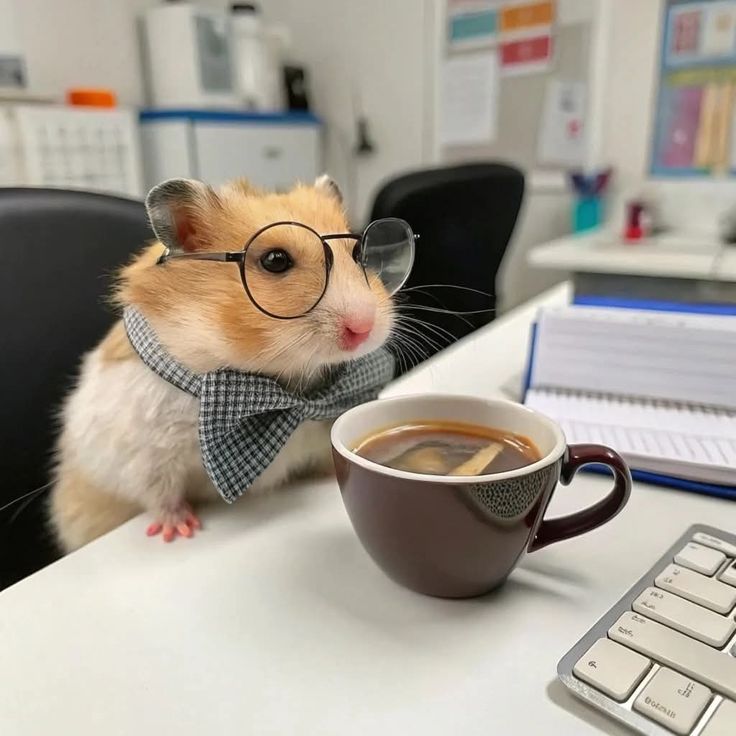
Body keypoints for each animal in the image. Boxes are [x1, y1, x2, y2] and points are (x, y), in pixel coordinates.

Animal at [49, 175, 395, 552]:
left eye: (359, 255)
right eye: (275, 260)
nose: (363, 328)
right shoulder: (145, 450)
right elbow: (159, 491)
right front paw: (179, 530)